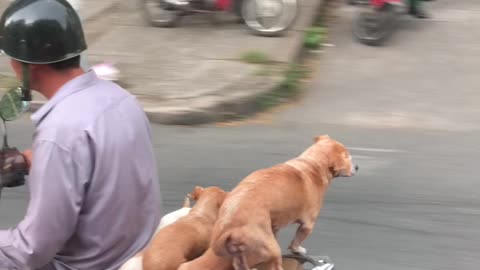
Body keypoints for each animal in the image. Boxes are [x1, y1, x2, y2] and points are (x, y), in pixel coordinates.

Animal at [201, 135, 358, 270]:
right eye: (347, 156)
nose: (357, 167)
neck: (312, 164)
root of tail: (228, 225)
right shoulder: (307, 225)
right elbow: (296, 243)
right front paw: (298, 250)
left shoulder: (275, 225)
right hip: (271, 247)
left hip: (242, 251)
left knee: (240, 264)